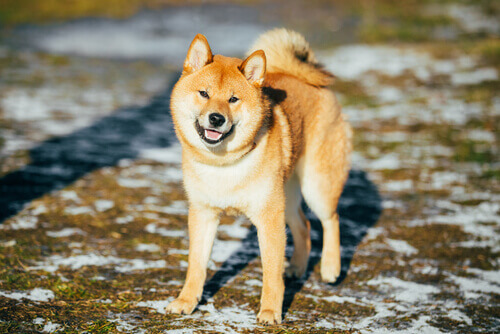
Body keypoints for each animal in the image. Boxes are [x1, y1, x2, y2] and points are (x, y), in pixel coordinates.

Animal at [165, 27, 352, 324]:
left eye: (233, 99)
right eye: (204, 93)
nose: (216, 118)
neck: (223, 163)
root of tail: (306, 79)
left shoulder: (268, 218)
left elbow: (271, 274)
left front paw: (270, 312)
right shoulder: (203, 213)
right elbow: (196, 264)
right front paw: (186, 301)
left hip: (316, 186)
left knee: (330, 219)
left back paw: (330, 268)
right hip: (287, 196)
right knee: (303, 225)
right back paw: (297, 267)